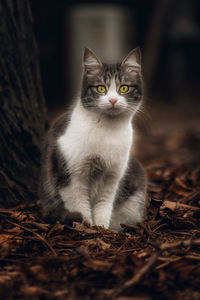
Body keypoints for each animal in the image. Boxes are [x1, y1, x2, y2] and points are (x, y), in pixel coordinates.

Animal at [39, 47, 148, 231]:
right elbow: (80, 206)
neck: (108, 130)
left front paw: (101, 228)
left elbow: (104, 205)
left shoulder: (113, 176)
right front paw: (86, 228)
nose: (113, 100)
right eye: (101, 89)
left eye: (124, 88)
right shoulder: (71, 176)